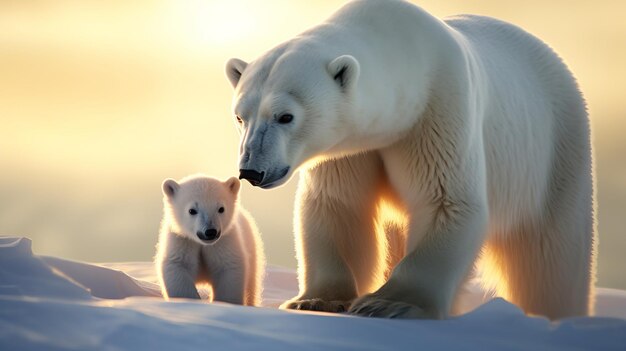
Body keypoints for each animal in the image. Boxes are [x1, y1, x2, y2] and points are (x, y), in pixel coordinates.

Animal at [157, 175, 264, 306]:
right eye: (192, 210)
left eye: (221, 208)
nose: (210, 231)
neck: (203, 244)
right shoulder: (182, 240)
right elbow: (177, 266)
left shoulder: (224, 242)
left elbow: (228, 268)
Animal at [223, 0, 588, 320]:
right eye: (241, 116)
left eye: (285, 116)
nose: (251, 171)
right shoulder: (348, 147)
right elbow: (339, 205)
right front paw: (316, 300)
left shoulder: (439, 110)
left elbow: (445, 200)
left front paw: (389, 304)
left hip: (556, 153)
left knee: (549, 259)